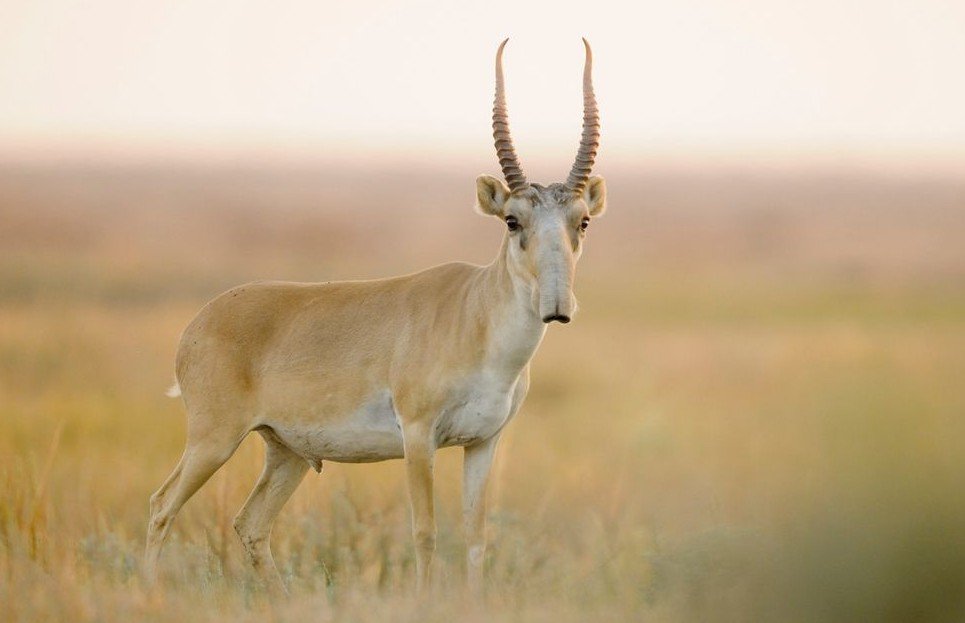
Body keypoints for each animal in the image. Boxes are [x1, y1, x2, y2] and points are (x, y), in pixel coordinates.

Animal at [144, 38, 606, 597]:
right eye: (512, 220)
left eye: (582, 220)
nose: (557, 307)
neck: (474, 315)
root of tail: (198, 323)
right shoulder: (419, 437)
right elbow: (426, 531)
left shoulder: (483, 442)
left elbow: (475, 536)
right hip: (213, 440)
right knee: (161, 507)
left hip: (287, 453)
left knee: (250, 524)